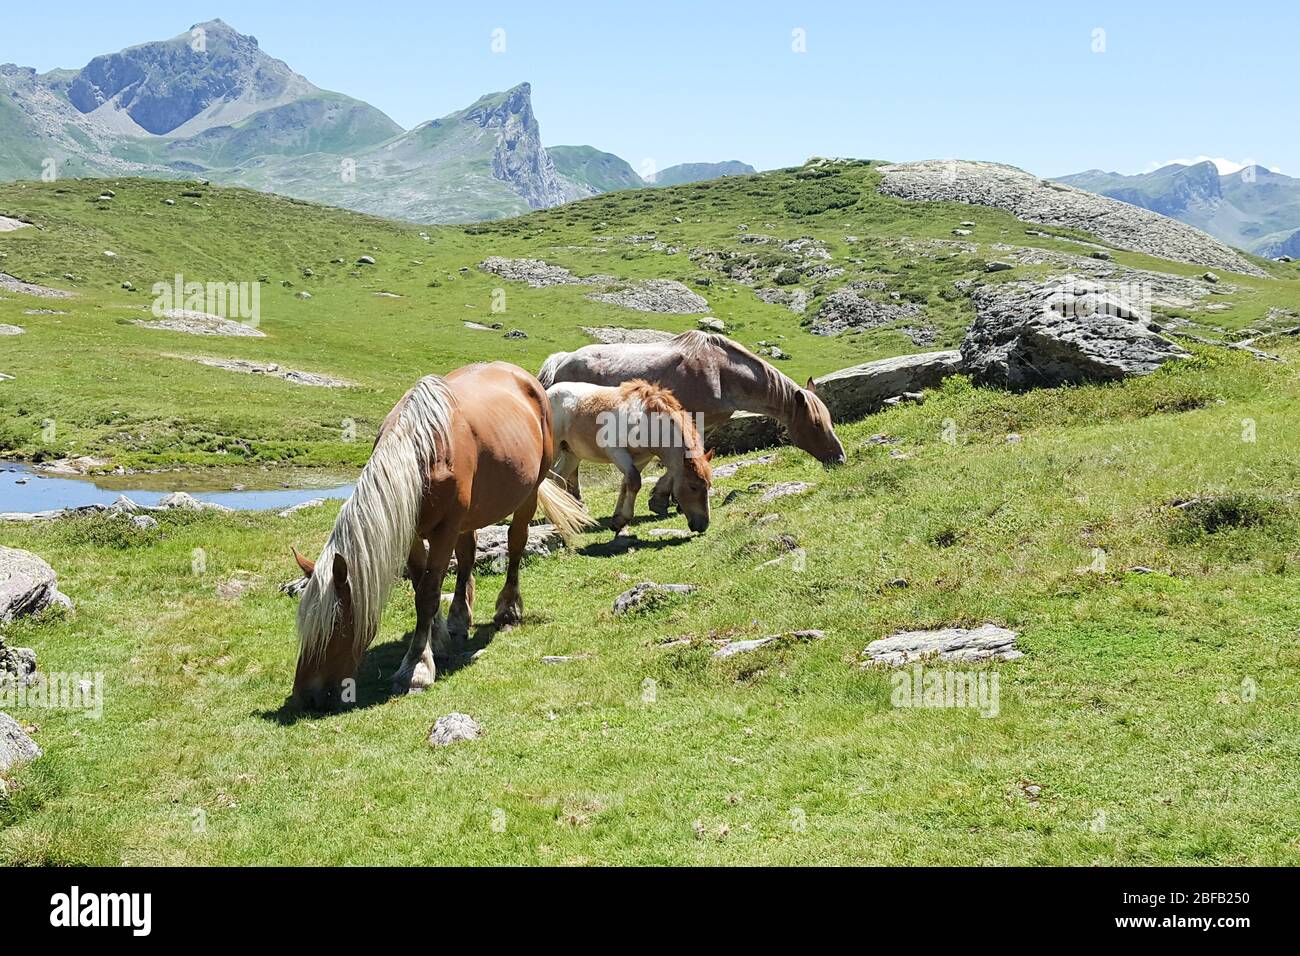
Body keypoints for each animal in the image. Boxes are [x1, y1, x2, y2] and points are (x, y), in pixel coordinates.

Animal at [289, 362, 591, 710]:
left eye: (336, 625)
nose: (305, 697)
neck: (422, 454)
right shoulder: (409, 533)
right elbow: (422, 586)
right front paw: (438, 640)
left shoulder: (444, 531)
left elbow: (428, 594)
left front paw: (417, 667)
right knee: (468, 556)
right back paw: (460, 619)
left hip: (527, 494)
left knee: (516, 543)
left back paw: (509, 610)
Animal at [538, 330, 845, 512]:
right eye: (817, 424)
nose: (839, 459)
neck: (721, 372)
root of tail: (562, 359)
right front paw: (662, 500)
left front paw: (667, 498)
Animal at [548, 379, 715, 534]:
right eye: (693, 486)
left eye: (708, 486)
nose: (703, 525)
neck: (644, 421)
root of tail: (550, 392)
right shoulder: (618, 453)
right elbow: (634, 481)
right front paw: (624, 518)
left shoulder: (641, 459)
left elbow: (626, 484)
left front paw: (617, 520)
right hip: (554, 450)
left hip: (572, 454)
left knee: (558, 479)